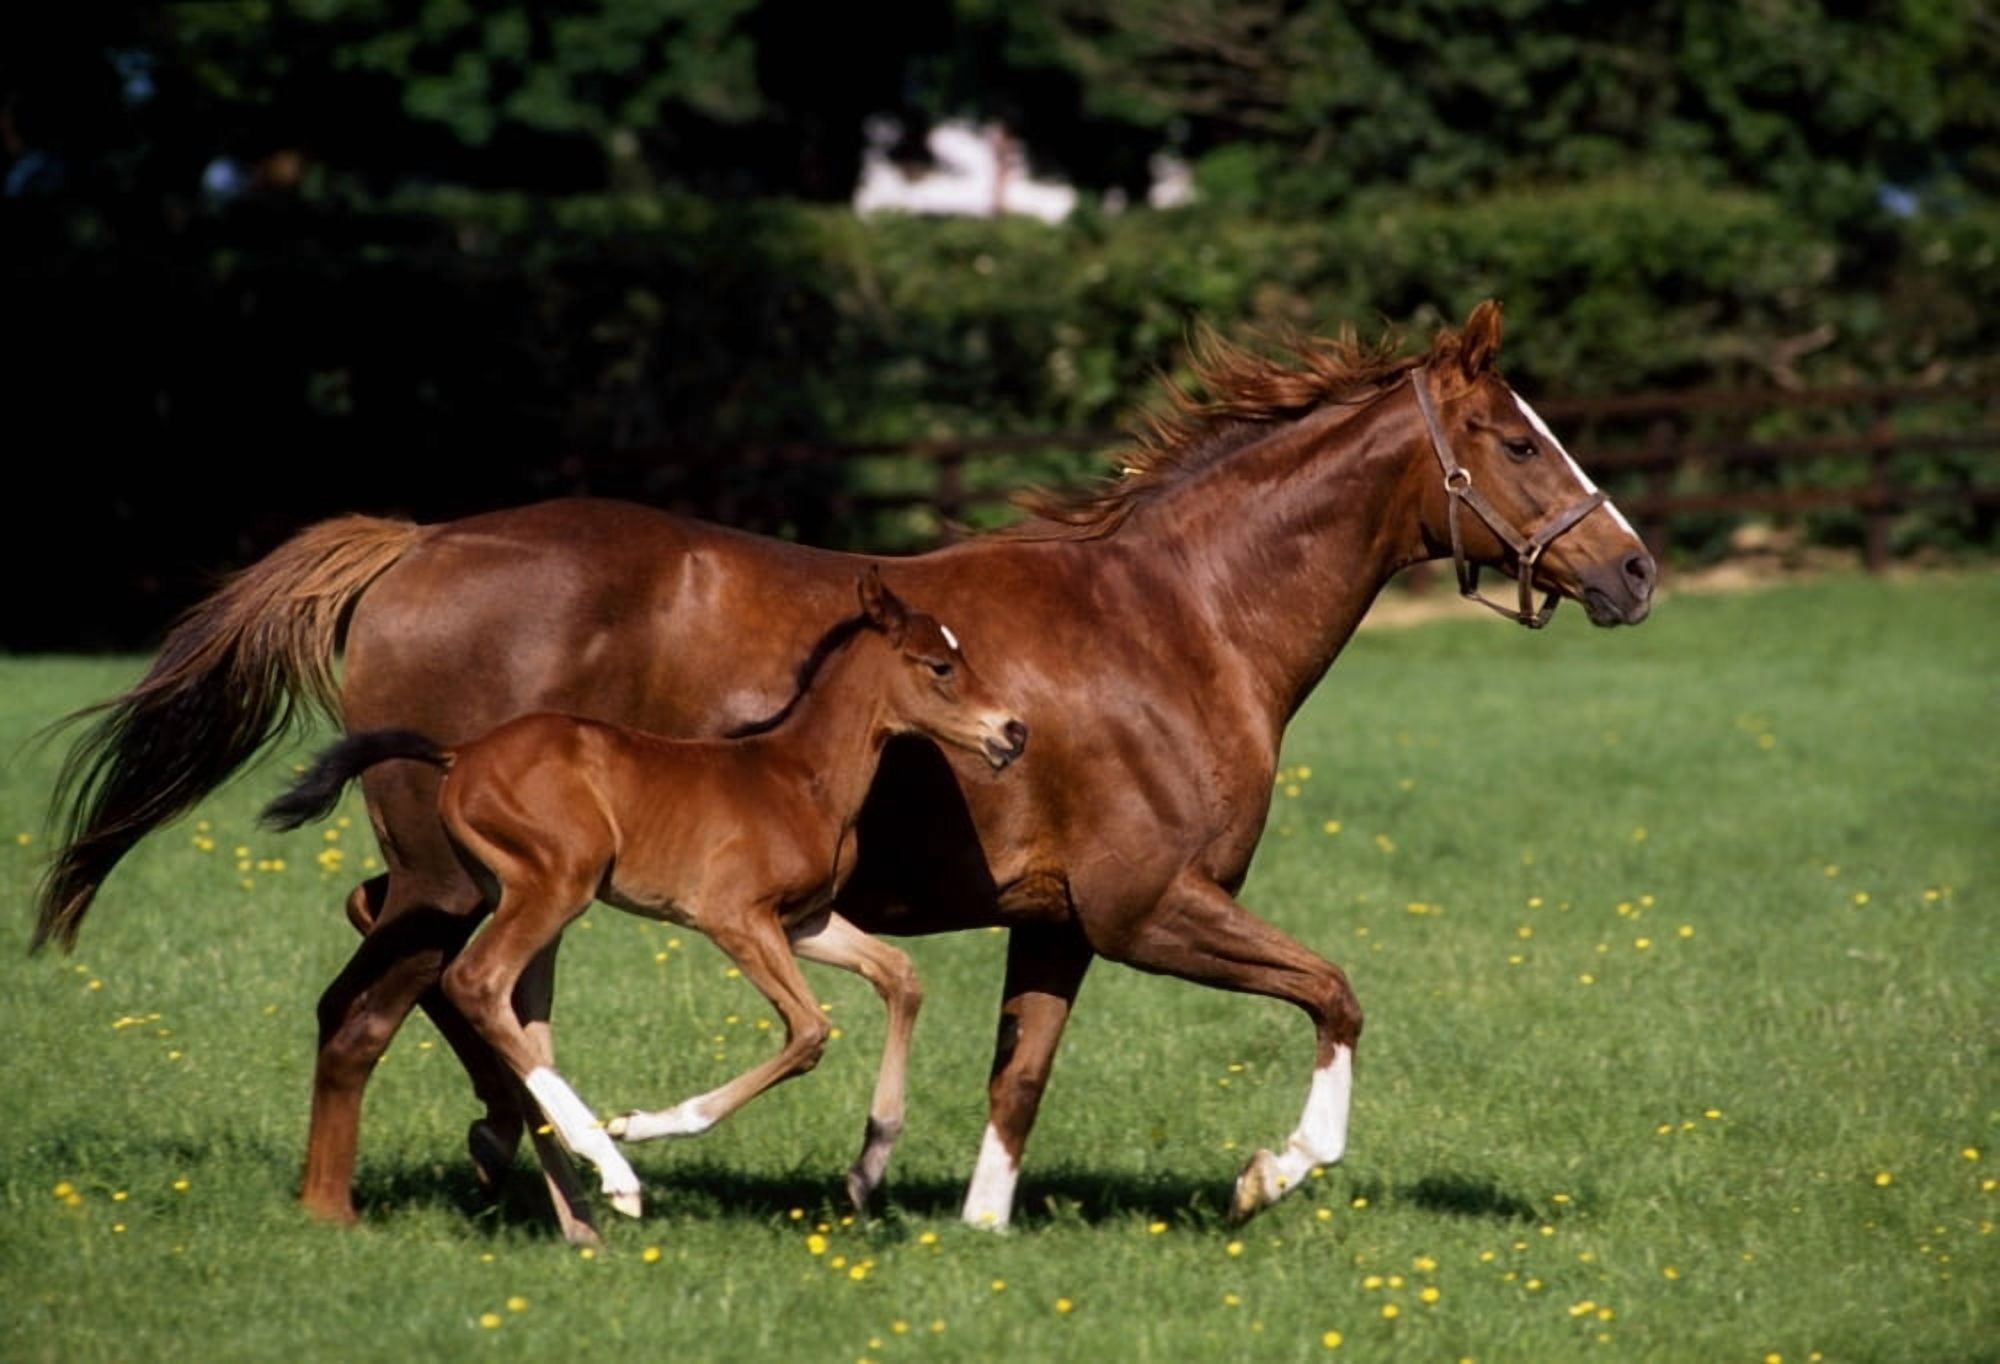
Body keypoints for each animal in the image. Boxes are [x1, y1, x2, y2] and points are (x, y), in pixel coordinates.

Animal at [259, 568, 1027, 1218]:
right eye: (939, 666)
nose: (1013, 731)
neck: (798, 777)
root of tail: (461, 754)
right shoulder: (733, 918)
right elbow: (810, 1031)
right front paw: (643, 1125)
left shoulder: (804, 922)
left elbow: (901, 977)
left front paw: (868, 1168)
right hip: (557, 882)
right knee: (477, 979)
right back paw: (612, 1169)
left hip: (504, 886)